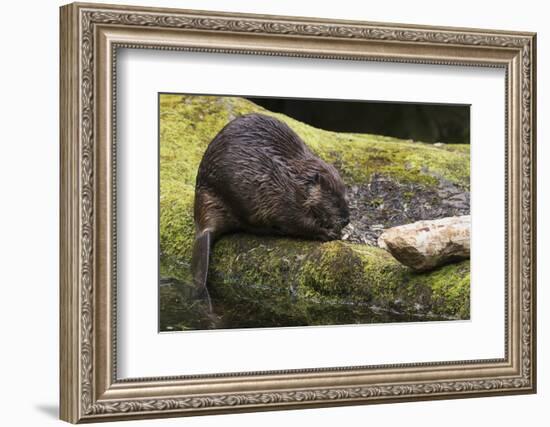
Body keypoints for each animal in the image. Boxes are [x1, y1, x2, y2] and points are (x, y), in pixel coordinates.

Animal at [192, 113, 352, 310]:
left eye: (345, 196)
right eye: (334, 200)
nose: (346, 220)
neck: (297, 180)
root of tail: (204, 229)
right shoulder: (281, 195)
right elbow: (299, 222)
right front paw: (329, 233)